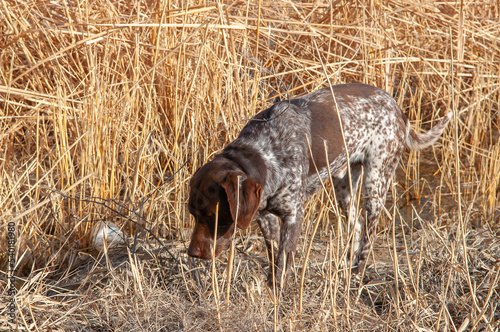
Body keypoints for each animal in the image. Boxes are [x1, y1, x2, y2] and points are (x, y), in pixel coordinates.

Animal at [186, 83, 452, 290]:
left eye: (212, 215)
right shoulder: (265, 218)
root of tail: (398, 109)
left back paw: (356, 276)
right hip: (344, 186)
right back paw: (344, 269)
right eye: (193, 214)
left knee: (370, 232)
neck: (263, 153)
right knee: (356, 225)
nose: (192, 254)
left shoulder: (294, 216)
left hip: (376, 182)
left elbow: (283, 262)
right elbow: (274, 259)